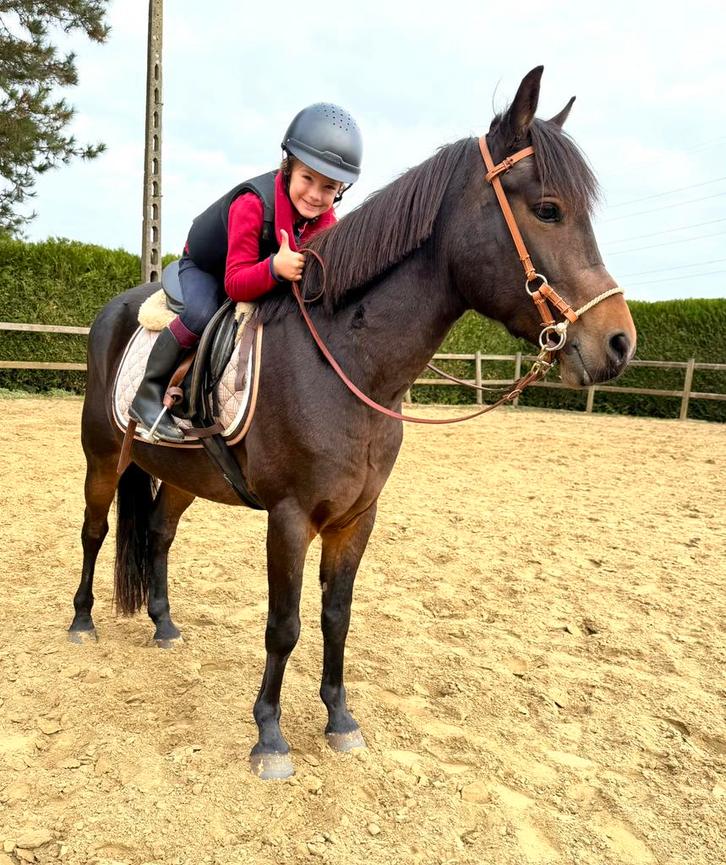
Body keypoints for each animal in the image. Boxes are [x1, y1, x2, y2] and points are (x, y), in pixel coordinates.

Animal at [69, 67, 636, 780]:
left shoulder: (356, 518)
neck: (350, 360)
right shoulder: (289, 518)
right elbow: (284, 625)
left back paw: (164, 625)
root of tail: (119, 305)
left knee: (158, 537)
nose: (619, 342)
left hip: (180, 475)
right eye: (549, 209)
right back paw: (83, 621)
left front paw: (339, 720)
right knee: (93, 533)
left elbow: (336, 616)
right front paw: (270, 736)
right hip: (102, 459)